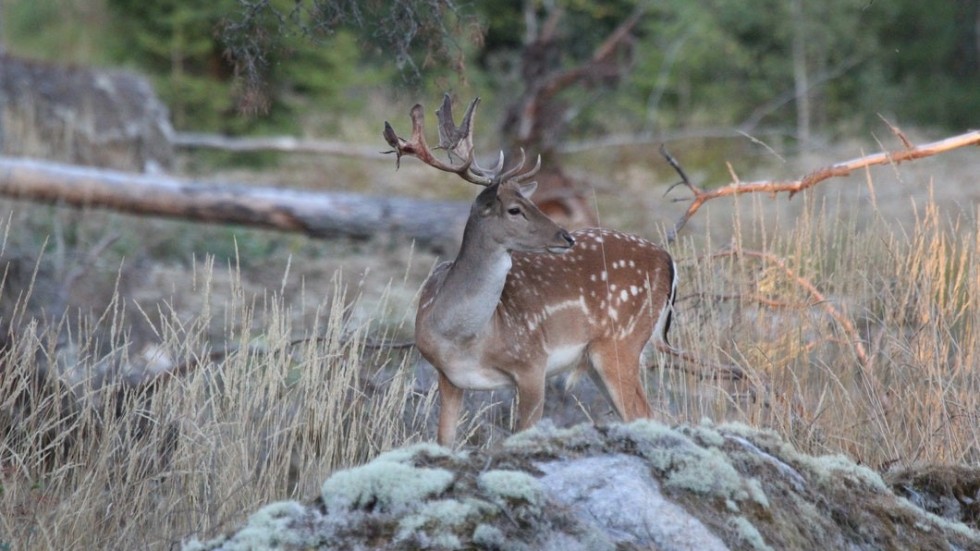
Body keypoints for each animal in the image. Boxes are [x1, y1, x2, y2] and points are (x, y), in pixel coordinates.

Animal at [386, 95, 676, 448]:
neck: (463, 337)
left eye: (534, 202)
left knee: (647, 414)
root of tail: (667, 259)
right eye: (515, 209)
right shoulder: (447, 376)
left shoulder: (532, 362)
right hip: (600, 356)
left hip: (622, 340)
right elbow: (445, 439)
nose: (566, 237)